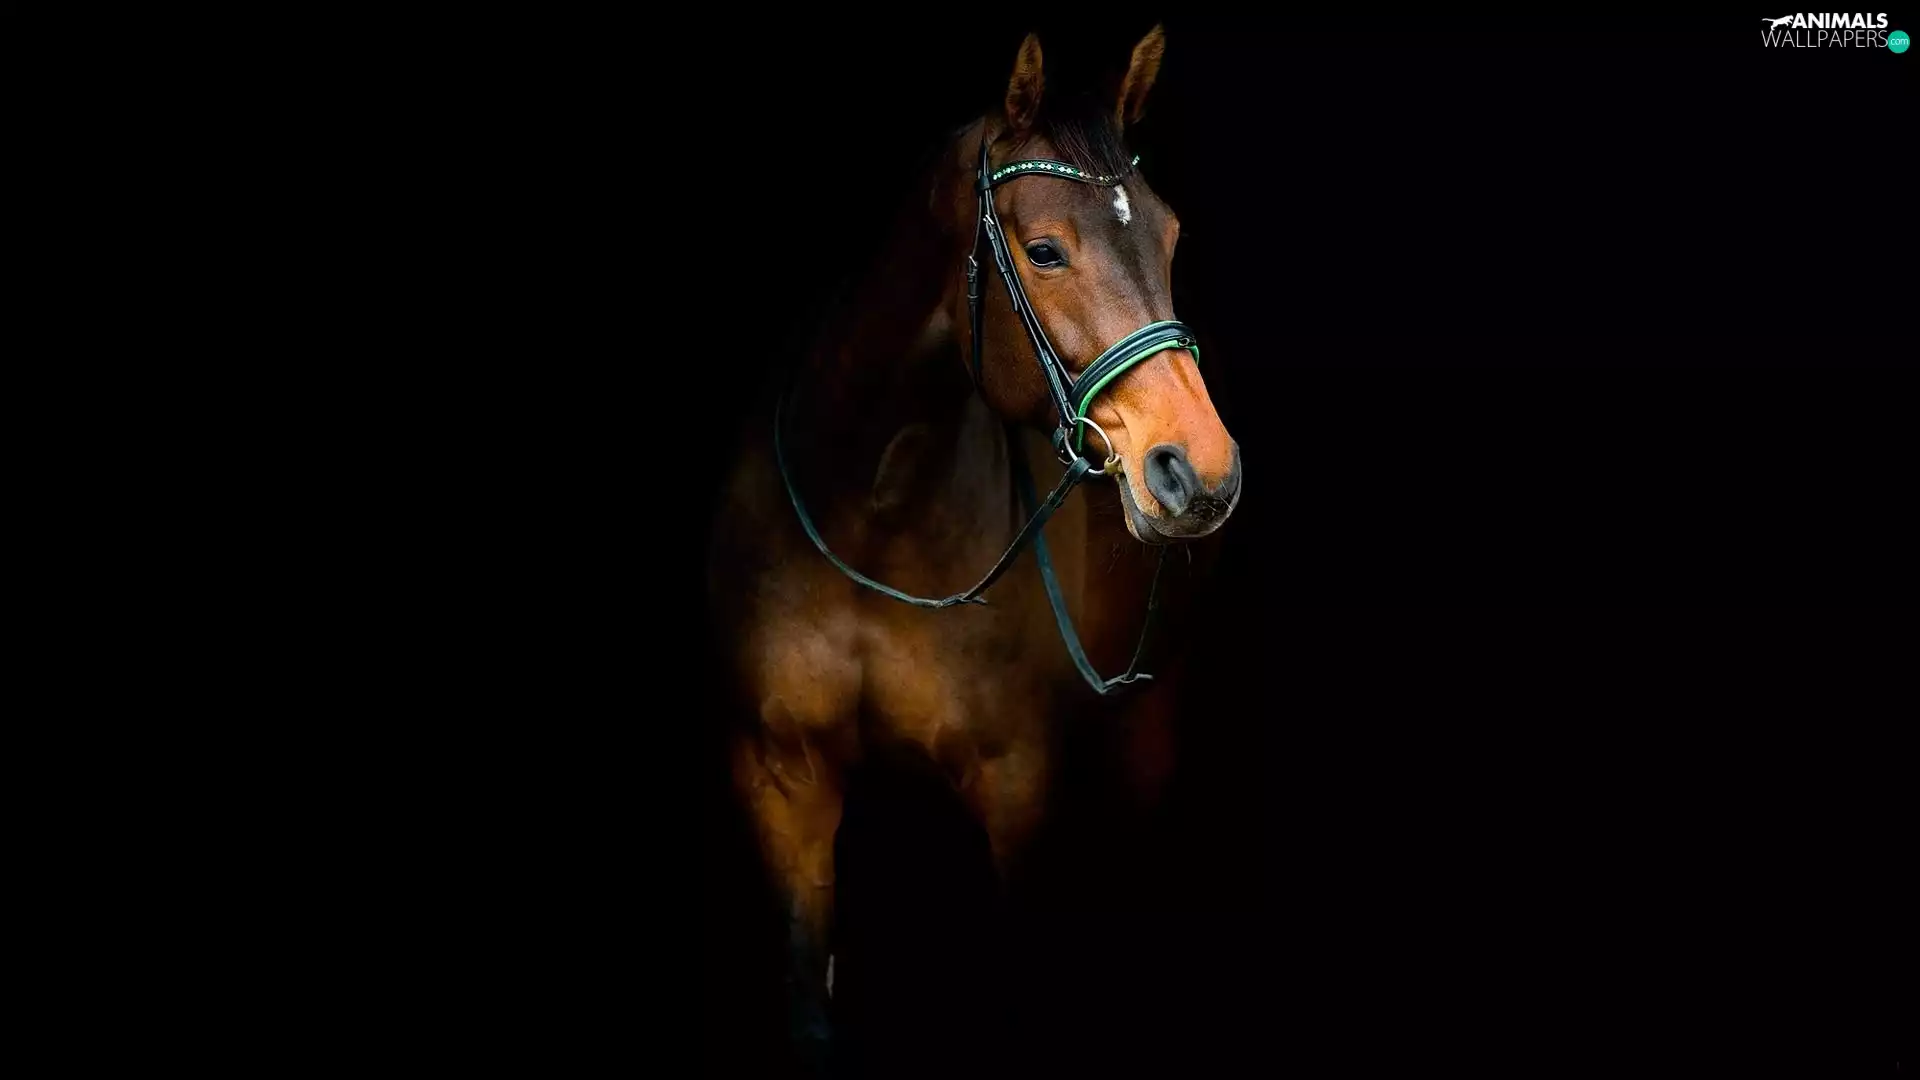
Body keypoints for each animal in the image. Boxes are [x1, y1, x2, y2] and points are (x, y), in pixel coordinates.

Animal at [705, 24, 1243, 1069]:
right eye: (1044, 250)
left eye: (1169, 238)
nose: (1200, 471)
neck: (871, 510)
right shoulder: (782, 779)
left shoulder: (1016, 790)